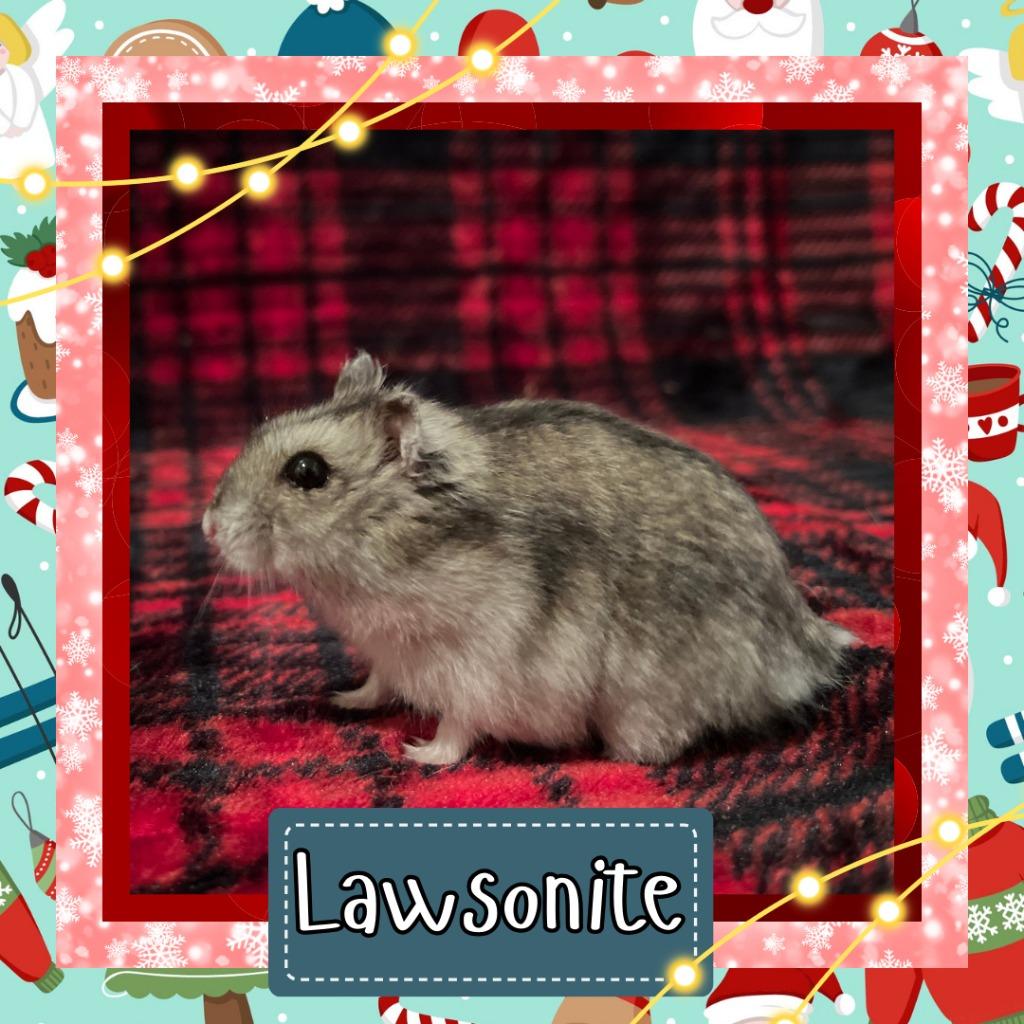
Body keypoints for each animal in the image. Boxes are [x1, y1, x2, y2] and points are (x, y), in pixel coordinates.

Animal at [203, 353, 851, 766]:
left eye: (307, 471)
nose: (208, 527)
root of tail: (807, 646)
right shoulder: (388, 651)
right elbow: (377, 680)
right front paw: (345, 700)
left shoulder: (478, 663)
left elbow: (457, 725)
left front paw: (418, 754)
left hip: (645, 704)